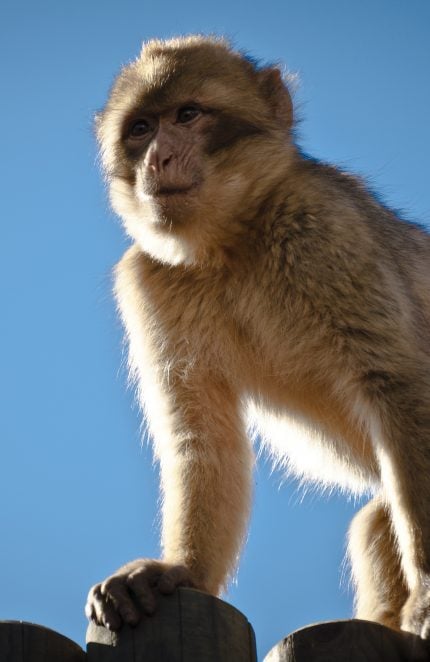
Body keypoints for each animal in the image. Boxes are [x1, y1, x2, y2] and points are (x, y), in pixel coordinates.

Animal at [86, 35, 430, 638]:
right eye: (142, 128)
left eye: (188, 115)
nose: (158, 158)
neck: (231, 243)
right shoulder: (150, 281)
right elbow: (201, 432)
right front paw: (182, 568)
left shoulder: (327, 225)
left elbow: (395, 383)